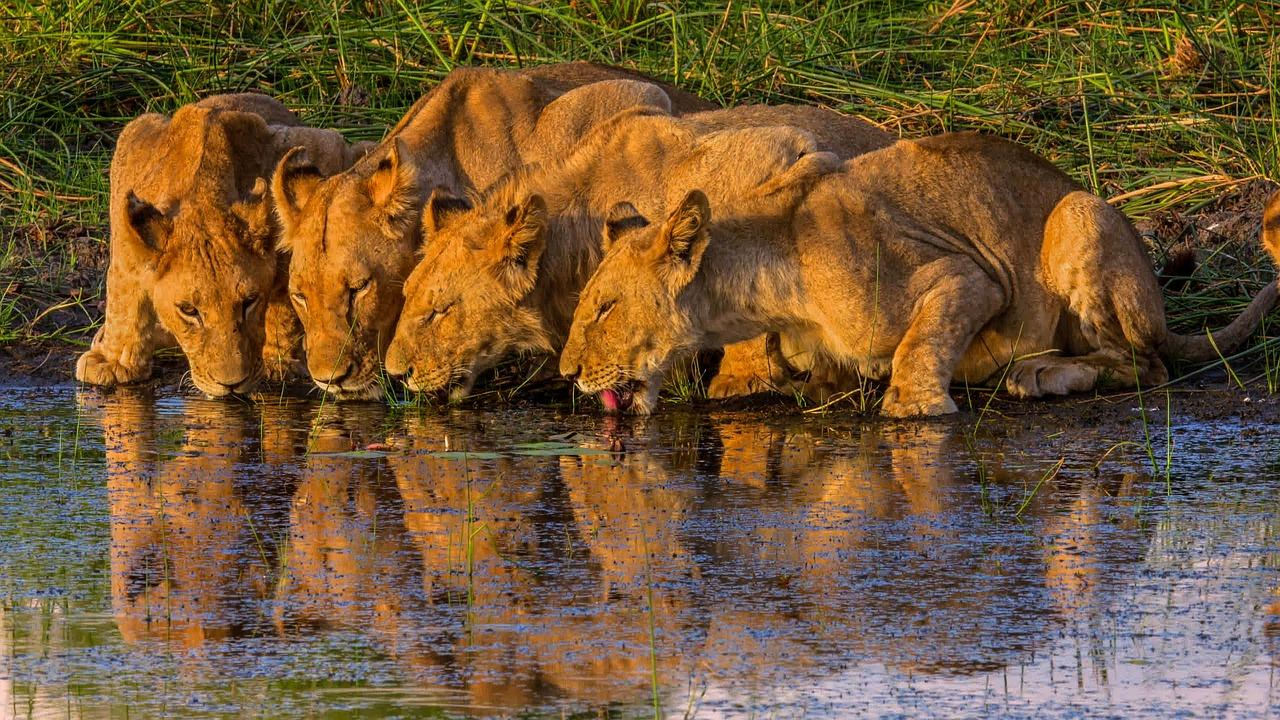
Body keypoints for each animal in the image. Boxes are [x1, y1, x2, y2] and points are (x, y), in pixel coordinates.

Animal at [76, 92, 371, 394]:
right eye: (188, 311)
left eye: (249, 301)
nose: (230, 385)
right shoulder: (132, 148)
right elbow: (122, 293)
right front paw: (113, 361)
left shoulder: (322, 146)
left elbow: (285, 300)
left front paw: (278, 362)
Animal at [563, 131, 1280, 417]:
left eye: (603, 308)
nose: (568, 374)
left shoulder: (968, 275)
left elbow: (922, 341)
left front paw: (914, 405)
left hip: (1079, 213)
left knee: (1145, 364)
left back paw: (1039, 374)